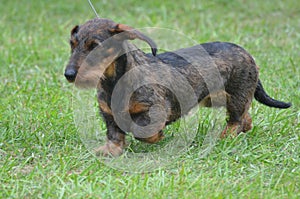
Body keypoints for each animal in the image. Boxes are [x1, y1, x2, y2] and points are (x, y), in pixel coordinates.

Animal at [65, 17, 290, 156]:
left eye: (95, 46)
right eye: (72, 44)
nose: (69, 75)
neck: (114, 81)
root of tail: (247, 54)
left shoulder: (155, 109)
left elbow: (141, 130)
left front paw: (156, 136)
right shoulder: (108, 114)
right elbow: (114, 134)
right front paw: (111, 151)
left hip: (236, 96)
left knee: (236, 119)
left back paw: (226, 137)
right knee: (246, 117)